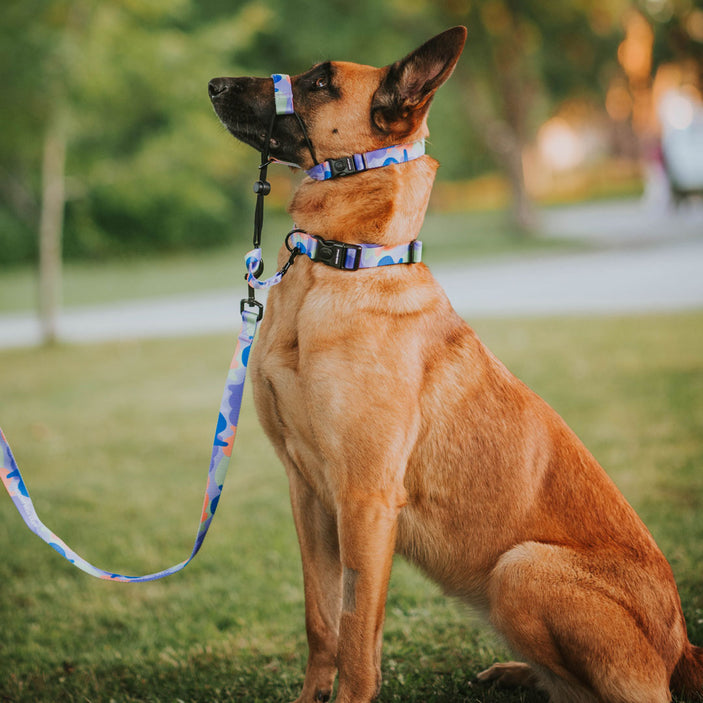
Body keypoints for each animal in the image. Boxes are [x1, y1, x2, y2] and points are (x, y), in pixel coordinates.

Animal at [210, 24, 703, 700]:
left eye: (320, 81)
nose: (214, 84)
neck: (341, 264)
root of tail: (682, 644)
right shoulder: (308, 493)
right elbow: (322, 624)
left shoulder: (365, 499)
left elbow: (357, 637)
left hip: (520, 568)